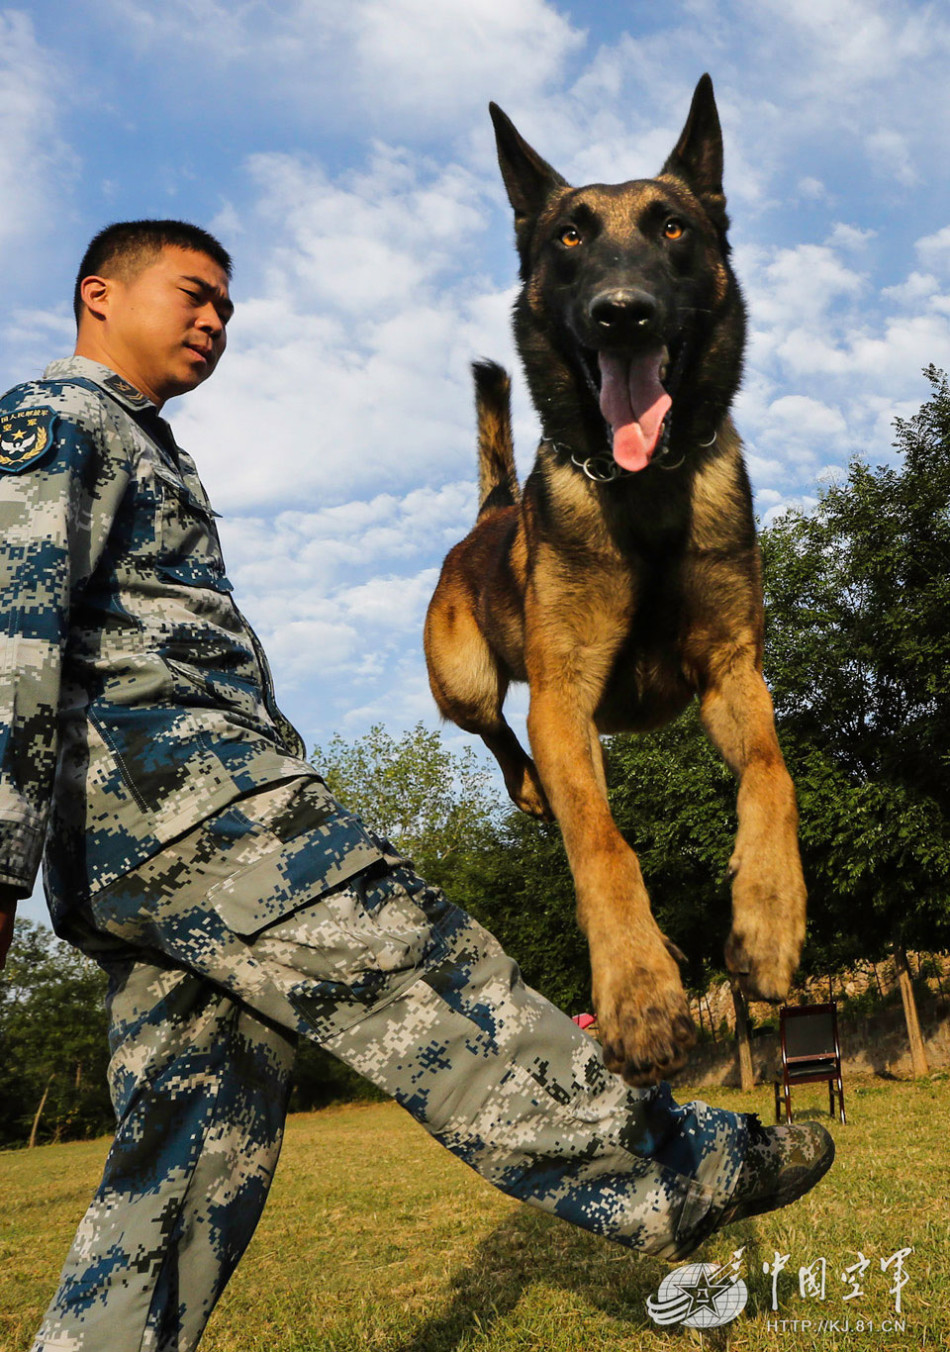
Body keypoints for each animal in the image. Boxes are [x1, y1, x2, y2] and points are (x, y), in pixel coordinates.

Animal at [427, 74, 805, 1087]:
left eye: (673, 227)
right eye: (570, 237)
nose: (622, 310)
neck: (646, 495)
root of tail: (488, 518)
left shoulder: (733, 675)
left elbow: (773, 776)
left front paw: (768, 922)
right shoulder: (561, 697)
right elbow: (603, 846)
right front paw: (638, 992)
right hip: (467, 681)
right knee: (510, 744)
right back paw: (533, 795)